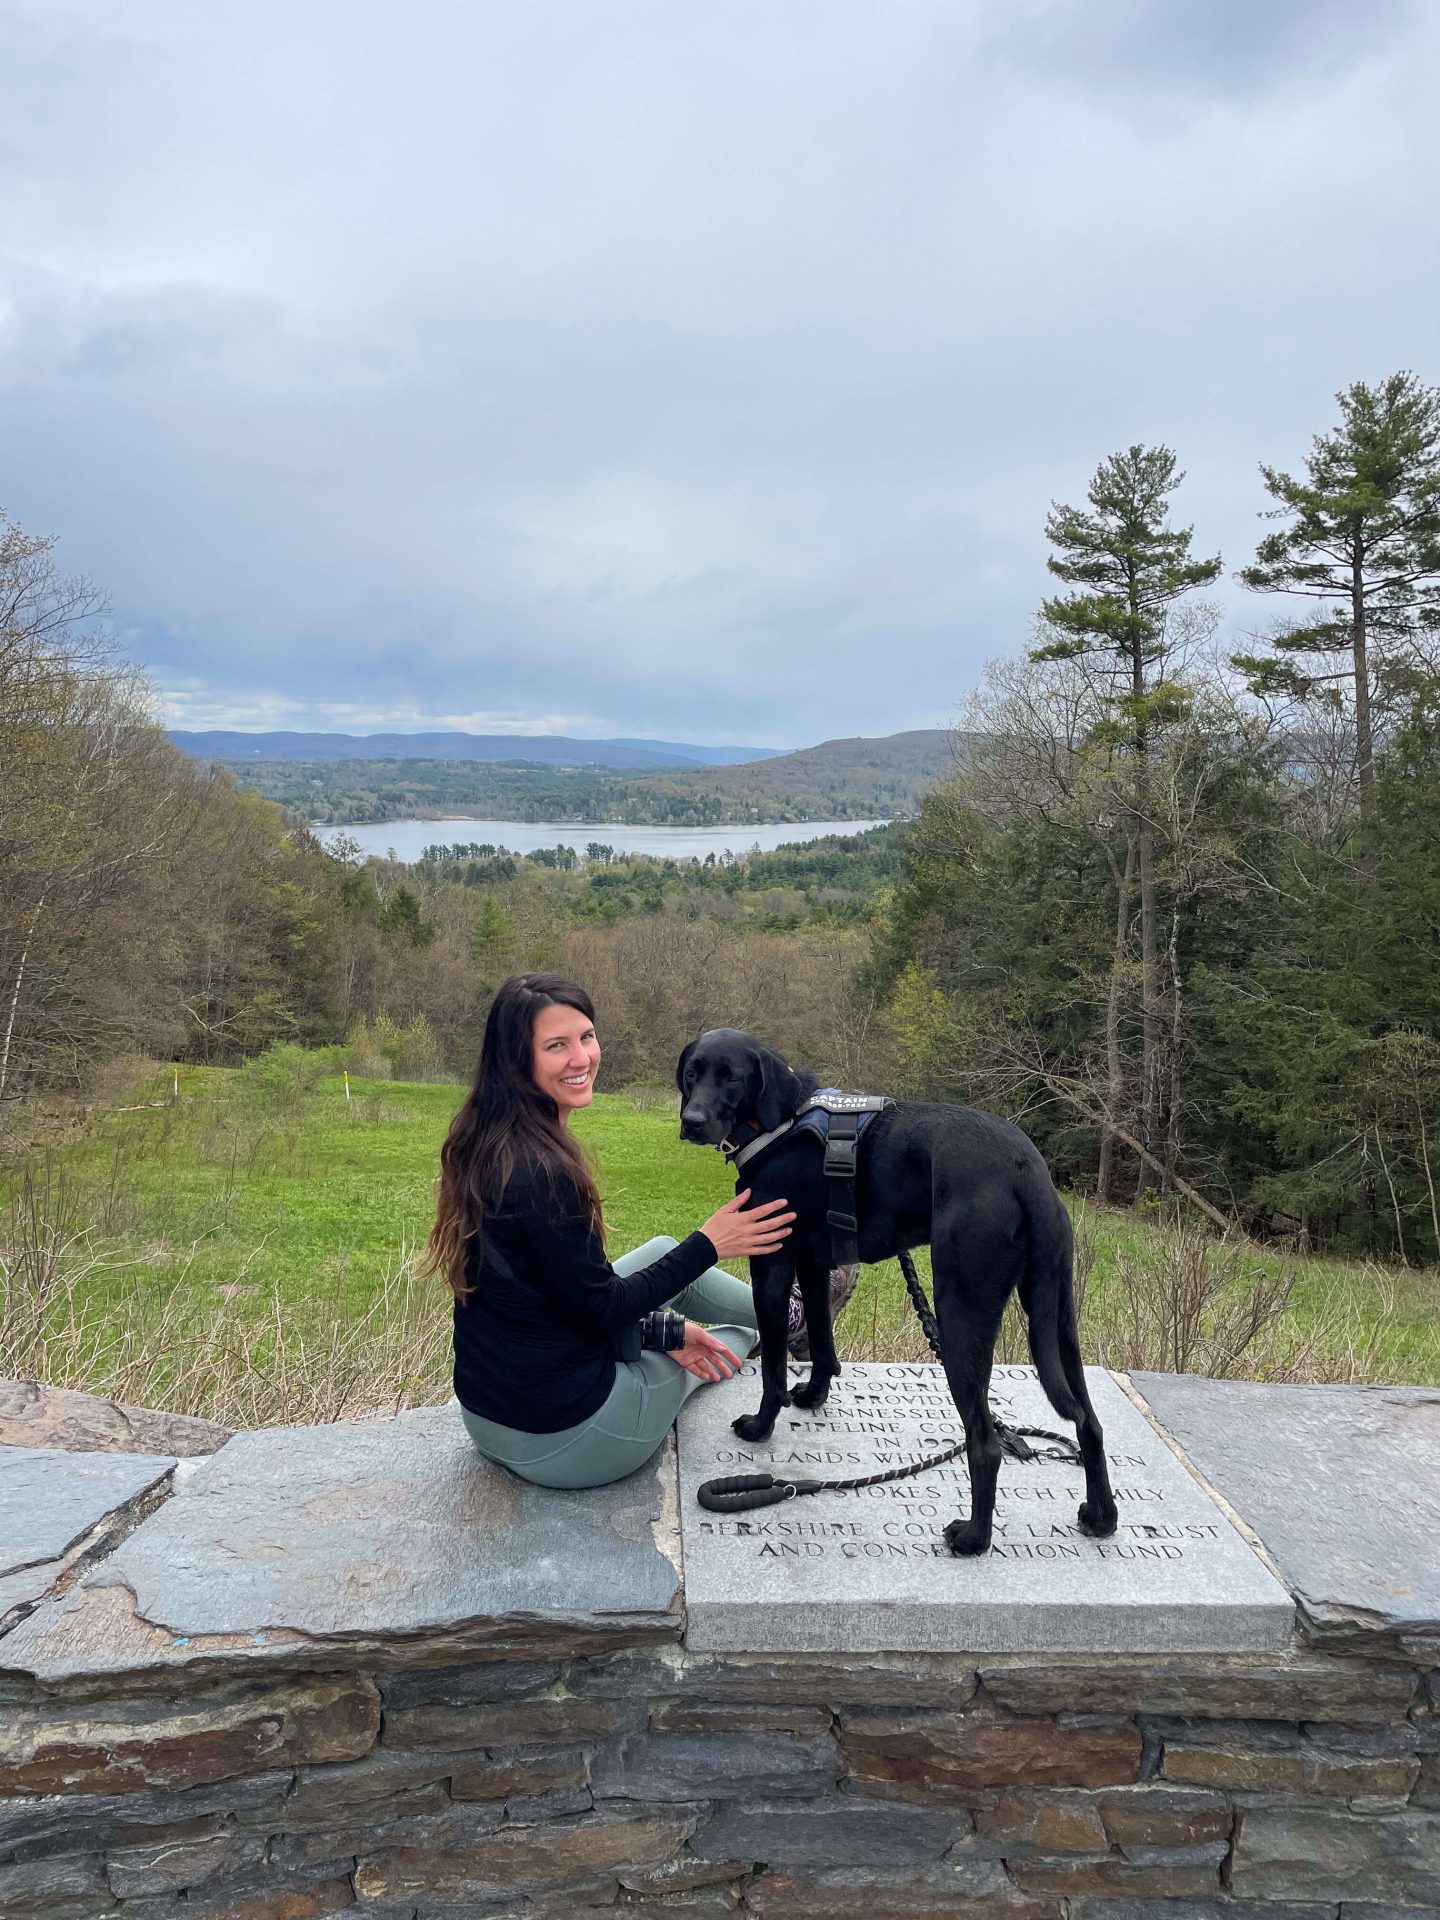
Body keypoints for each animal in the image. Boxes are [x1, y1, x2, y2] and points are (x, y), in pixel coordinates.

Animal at [675, 1029, 1113, 1551]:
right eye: (692, 1073)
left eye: (733, 1079)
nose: (691, 1121)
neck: (779, 1122)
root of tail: (1027, 1170)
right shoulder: (816, 1264)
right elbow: (823, 1344)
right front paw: (815, 1396)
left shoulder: (772, 1264)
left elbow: (774, 1373)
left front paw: (761, 1427)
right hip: (1057, 1318)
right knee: (1089, 1422)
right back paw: (1101, 1516)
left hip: (960, 1310)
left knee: (986, 1444)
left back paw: (974, 1538)